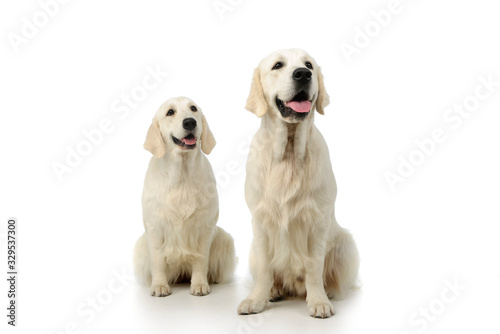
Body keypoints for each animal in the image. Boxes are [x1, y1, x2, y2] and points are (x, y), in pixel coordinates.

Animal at [135, 96, 236, 294]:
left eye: (193, 108)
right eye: (170, 112)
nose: (190, 122)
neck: (181, 174)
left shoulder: (204, 227)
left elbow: (200, 260)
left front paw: (199, 285)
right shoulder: (155, 227)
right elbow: (158, 260)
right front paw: (159, 286)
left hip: (224, 238)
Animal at [238, 48, 360, 318]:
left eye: (309, 65)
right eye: (277, 65)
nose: (303, 74)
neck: (289, 153)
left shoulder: (317, 221)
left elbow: (314, 267)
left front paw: (318, 301)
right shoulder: (260, 221)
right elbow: (265, 268)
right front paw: (257, 300)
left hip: (346, 244)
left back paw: (330, 292)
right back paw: (274, 291)